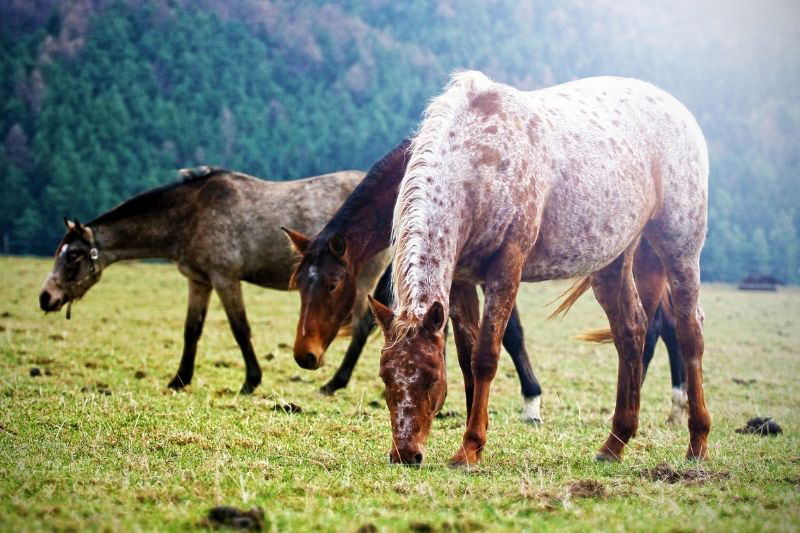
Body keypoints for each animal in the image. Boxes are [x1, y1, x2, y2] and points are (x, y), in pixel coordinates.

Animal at [39, 167, 389, 394]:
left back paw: (334, 383)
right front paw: (179, 380)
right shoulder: (199, 281)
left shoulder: (225, 278)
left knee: (361, 327)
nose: (46, 297)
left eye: (73, 256)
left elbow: (240, 329)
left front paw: (251, 381)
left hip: (359, 284)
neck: (193, 213)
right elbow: (191, 330)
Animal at [369, 71, 710, 466]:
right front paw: (474, 440)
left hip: (679, 247)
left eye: (432, 377)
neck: (479, 161)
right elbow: (467, 358)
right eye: (385, 377)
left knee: (689, 332)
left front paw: (470, 448)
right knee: (631, 332)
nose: (405, 453)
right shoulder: (461, 280)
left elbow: (485, 357)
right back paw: (614, 443)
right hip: (612, 262)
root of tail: (680, 112)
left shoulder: (507, 265)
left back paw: (697, 442)